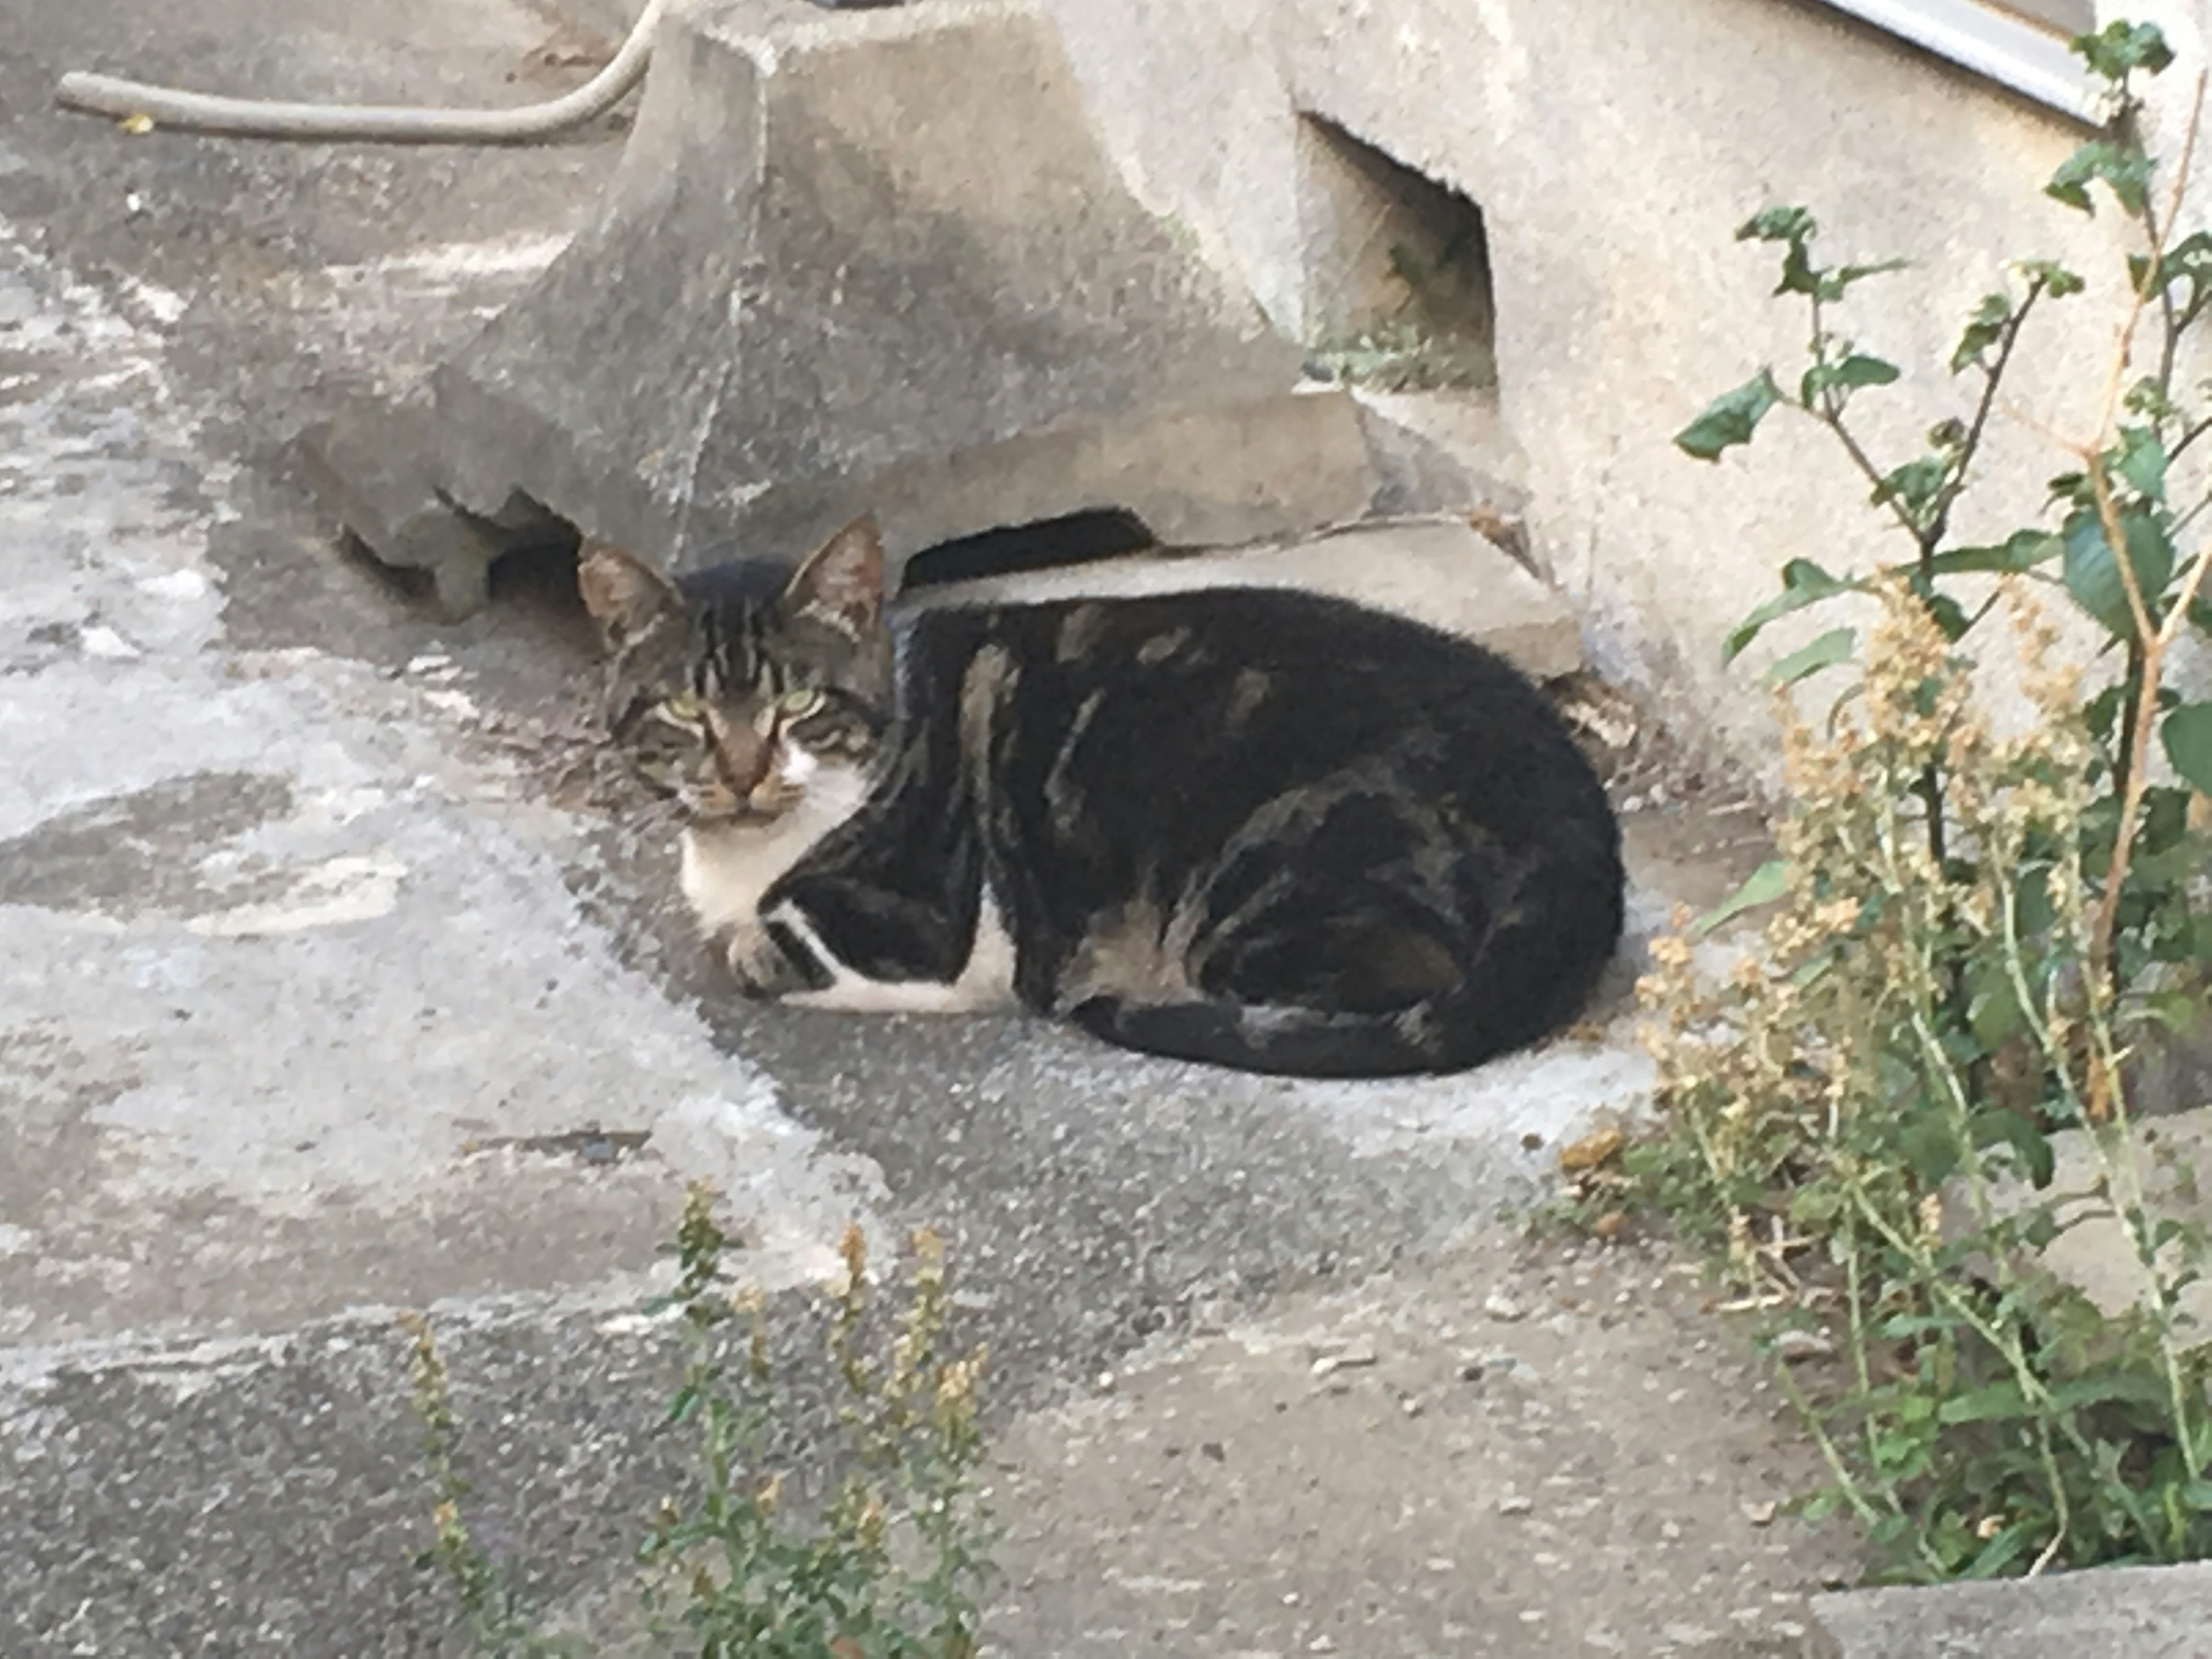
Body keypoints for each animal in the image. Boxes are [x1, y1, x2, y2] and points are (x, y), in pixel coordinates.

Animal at [584, 517, 1628, 1079]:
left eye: (798, 703)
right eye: (686, 708)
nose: (742, 772)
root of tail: (1579, 814)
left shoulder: (928, 927)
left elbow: (757, 949)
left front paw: (749, 942)